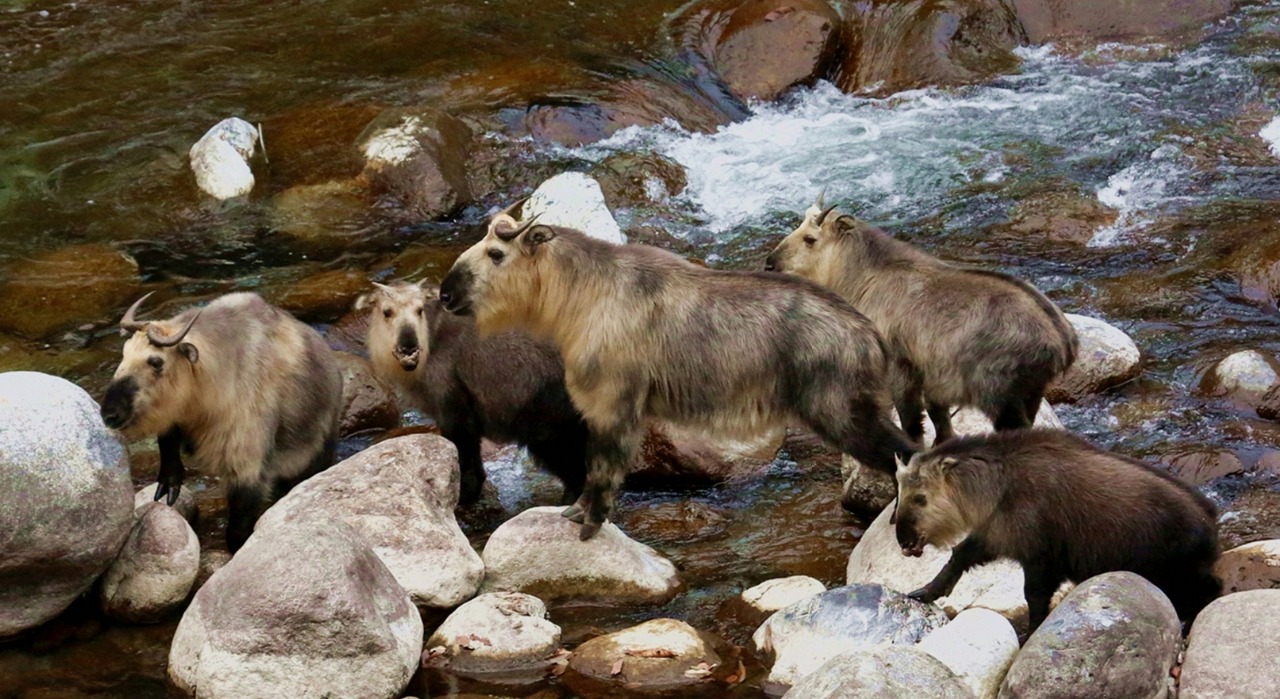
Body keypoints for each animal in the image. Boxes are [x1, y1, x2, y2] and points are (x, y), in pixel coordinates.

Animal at [100, 289, 343, 550]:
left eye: (156, 362)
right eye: (124, 354)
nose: (109, 414)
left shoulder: (245, 464)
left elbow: (237, 531)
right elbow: (167, 441)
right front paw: (169, 483)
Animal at [355, 279, 586, 506]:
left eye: (419, 310)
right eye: (387, 312)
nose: (409, 346)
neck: (433, 339)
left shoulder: (453, 407)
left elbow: (463, 454)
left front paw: (463, 495)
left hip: (548, 429)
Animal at [440, 203, 921, 535]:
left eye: (496, 253)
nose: (445, 294)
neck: (584, 293)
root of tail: (868, 334)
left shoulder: (614, 404)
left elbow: (602, 470)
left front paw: (589, 523)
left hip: (840, 411)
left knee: (906, 454)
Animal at [762, 197, 1075, 440]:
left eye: (810, 239)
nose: (770, 263)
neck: (870, 274)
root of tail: (1061, 339)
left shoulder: (901, 367)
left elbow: (911, 422)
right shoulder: (931, 376)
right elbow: (940, 420)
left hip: (1001, 397)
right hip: (1031, 394)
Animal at [890, 427, 1218, 627]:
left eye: (920, 497)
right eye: (900, 492)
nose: (904, 541)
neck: (1001, 485)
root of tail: (1210, 524)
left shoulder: (1040, 559)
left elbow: (1034, 599)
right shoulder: (996, 536)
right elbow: (959, 556)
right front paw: (925, 592)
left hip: (1175, 577)